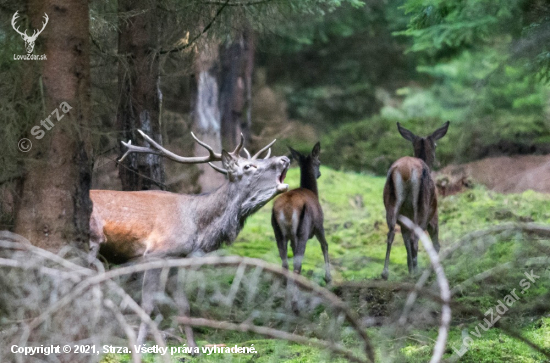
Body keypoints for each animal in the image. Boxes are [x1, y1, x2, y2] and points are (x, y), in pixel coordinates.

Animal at [88, 132, 292, 348]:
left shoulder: (175, 258)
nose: (284, 159)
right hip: (93, 240)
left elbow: (183, 305)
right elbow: (147, 304)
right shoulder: (154, 254)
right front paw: (139, 344)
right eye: (248, 166)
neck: (197, 226)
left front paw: (193, 348)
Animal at [272, 142, 332, 284]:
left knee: (285, 264)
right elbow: (325, 245)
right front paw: (328, 278)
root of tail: (287, 209)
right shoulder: (319, 225)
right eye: (319, 162)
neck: (314, 193)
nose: (319, 173)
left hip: (278, 231)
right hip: (303, 228)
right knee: (296, 266)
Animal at [382, 122, 450, 282]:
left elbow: (406, 243)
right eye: (436, 144)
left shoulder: (404, 222)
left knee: (391, 233)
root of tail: (405, 170)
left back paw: (385, 273)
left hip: (391, 204)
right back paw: (417, 272)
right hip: (422, 207)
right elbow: (435, 244)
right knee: (416, 238)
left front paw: (410, 269)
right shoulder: (433, 215)